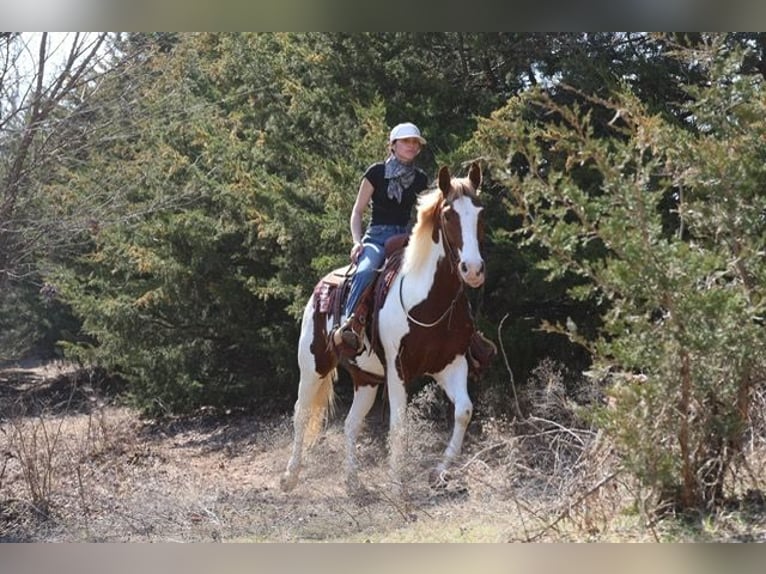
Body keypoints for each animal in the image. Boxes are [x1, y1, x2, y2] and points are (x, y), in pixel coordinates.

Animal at [280, 162, 486, 497]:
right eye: (448, 215)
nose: (473, 269)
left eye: (481, 212)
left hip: (366, 379)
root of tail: (321, 286)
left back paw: (353, 482)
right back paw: (289, 477)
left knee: (351, 423)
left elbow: (464, 411)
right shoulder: (398, 369)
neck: (426, 299)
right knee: (302, 413)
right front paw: (397, 486)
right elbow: (399, 425)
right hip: (313, 365)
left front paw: (438, 472)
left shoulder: (451, 364)